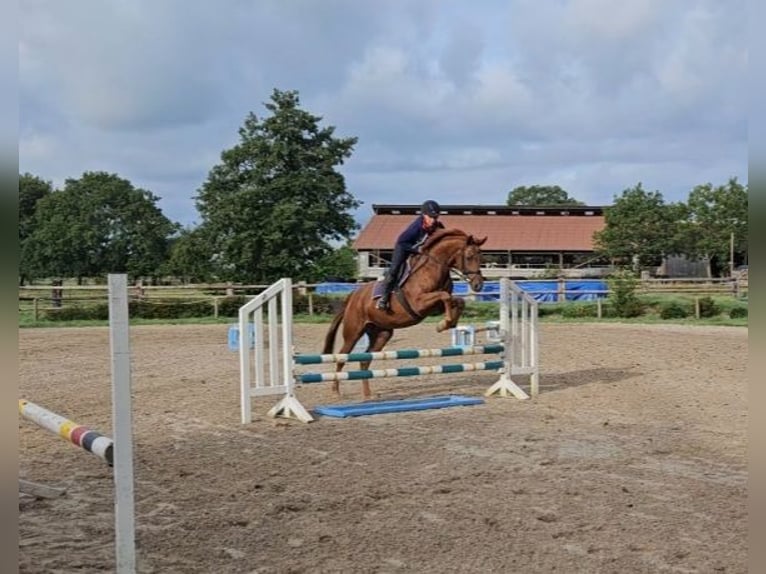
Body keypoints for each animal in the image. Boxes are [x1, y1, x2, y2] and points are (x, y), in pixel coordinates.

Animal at [320, 230, 488, 400]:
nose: (478, 285)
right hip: (353, 332)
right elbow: (445, 296)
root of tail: (353, 296)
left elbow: (458, 300)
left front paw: (447, 323)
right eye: (469, 256)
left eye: (481, 257)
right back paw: (335, 391)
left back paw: (368, 394)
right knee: (342, 357)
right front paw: (445, 322)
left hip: (381, 334)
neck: (433, 268)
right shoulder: (419, 303)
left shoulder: (435, 307)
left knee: (365, 361)